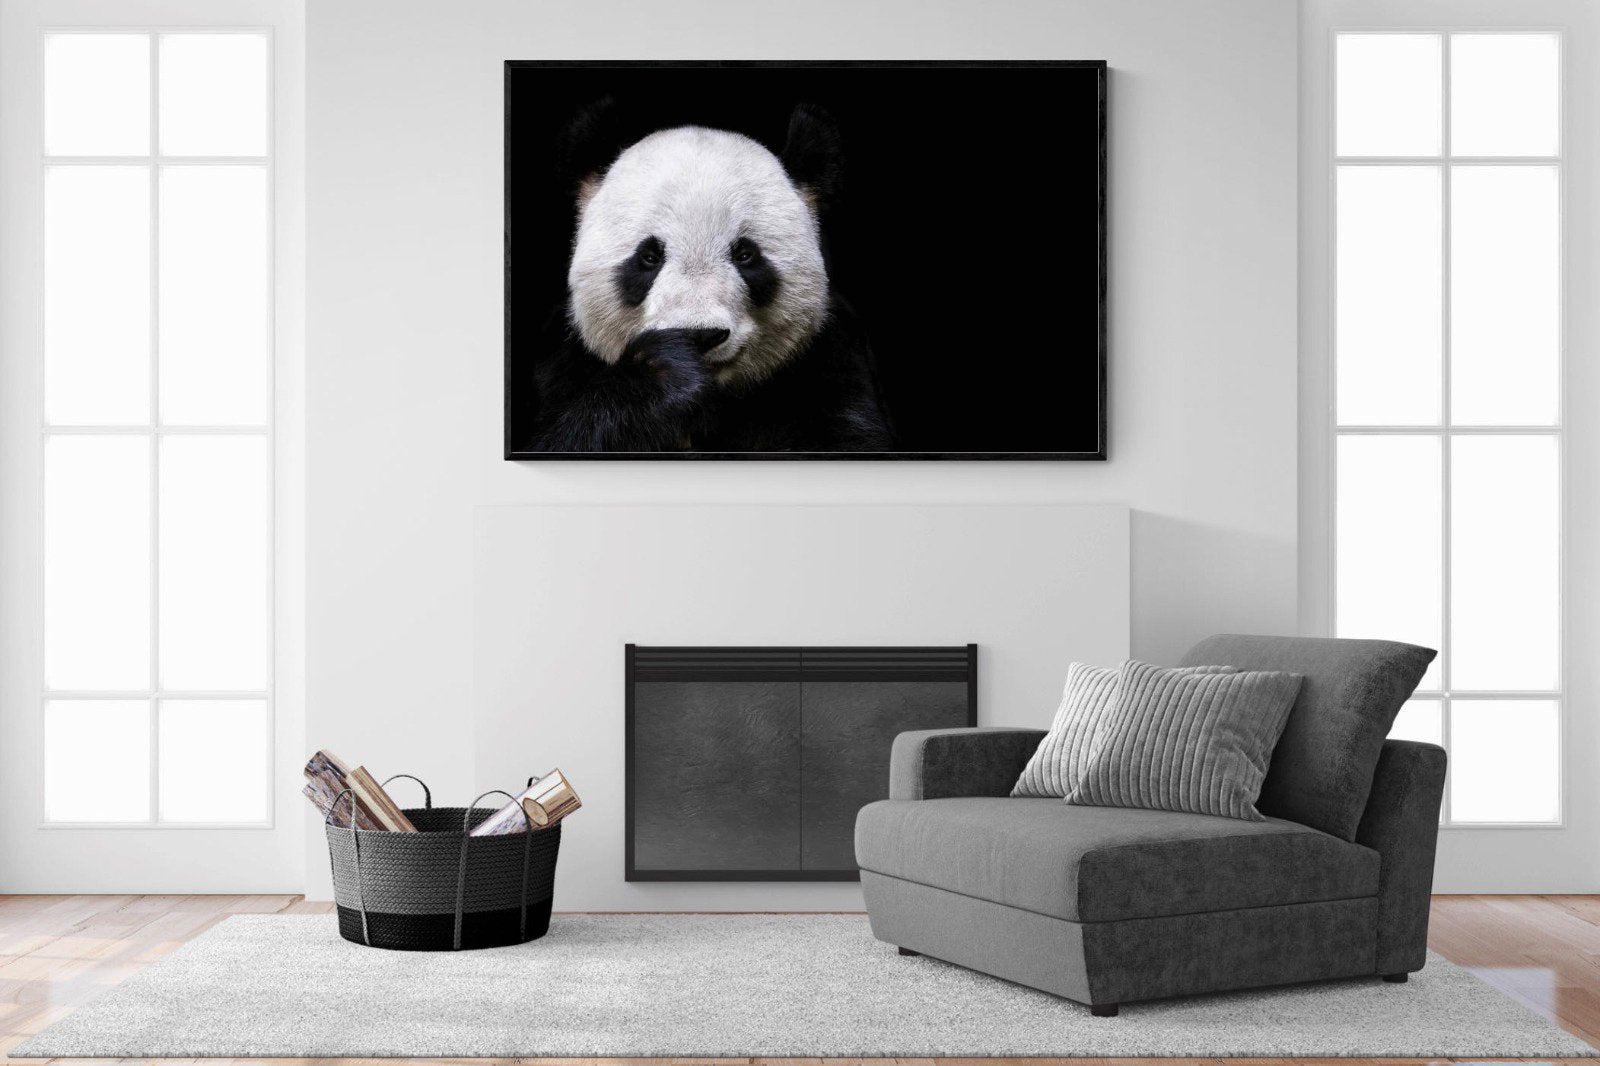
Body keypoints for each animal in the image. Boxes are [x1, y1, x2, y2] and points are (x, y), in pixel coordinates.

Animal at [527, 102, 895, 453]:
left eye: (745, 254)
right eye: (649, 257)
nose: (700, 335)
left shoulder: (831, 364)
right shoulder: (561, 364)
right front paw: (663, 374)